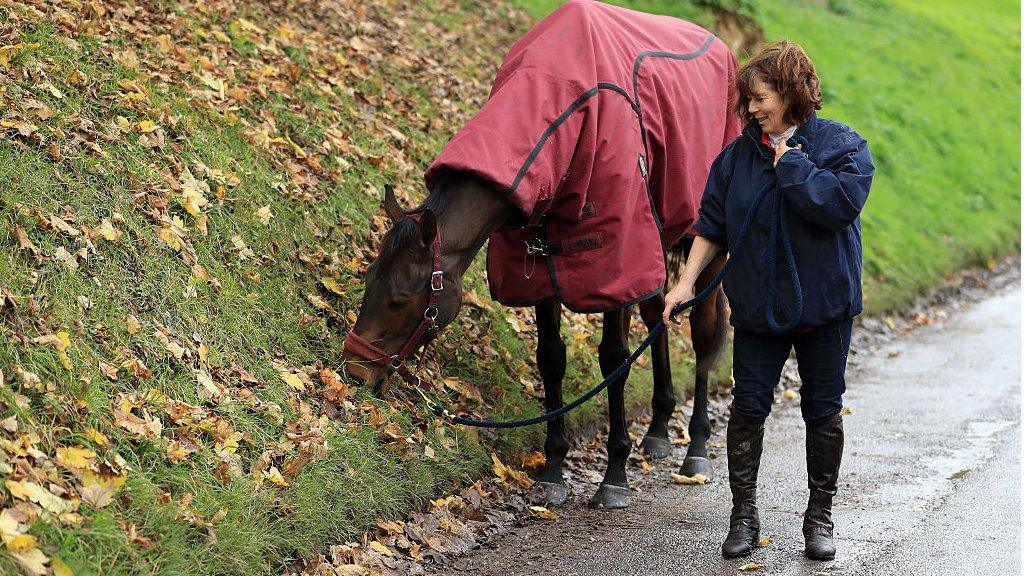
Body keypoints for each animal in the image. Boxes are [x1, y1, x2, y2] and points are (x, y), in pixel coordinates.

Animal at [342, 0, 737, 504]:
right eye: (369, 283)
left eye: (399, 300)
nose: (355, 373)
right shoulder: (539, 265)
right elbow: (551, 357)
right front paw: (553, 469)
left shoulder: (616, 263)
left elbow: (613, 358)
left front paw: (614, 474)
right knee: (658, 317)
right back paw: (659, 429)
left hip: (704, 246)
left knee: (704, 328)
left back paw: (698, 447)